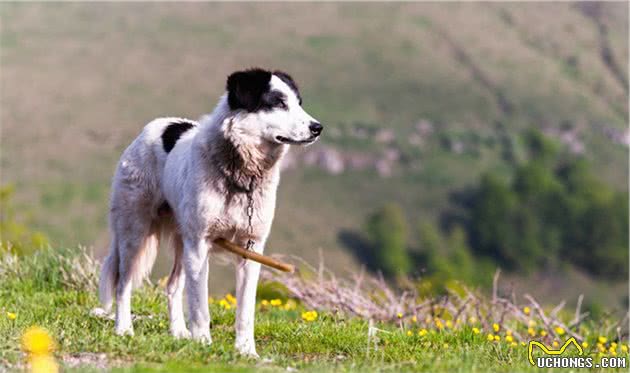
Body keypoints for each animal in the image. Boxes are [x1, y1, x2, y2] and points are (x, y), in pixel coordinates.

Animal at [99, 68, 326, 356]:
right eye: (278, 103)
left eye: (299, 103)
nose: (317, 128)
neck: (241, 172)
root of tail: (153, 126)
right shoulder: (200, 245)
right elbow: (200, 307)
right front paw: (203, 344)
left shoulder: (251, 249)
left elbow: (246, 311)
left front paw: (246, 352)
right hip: (135, 232)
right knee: (122, 283)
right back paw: (124, 328)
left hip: (182, 240)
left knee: (172, 286)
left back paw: (178, 333)